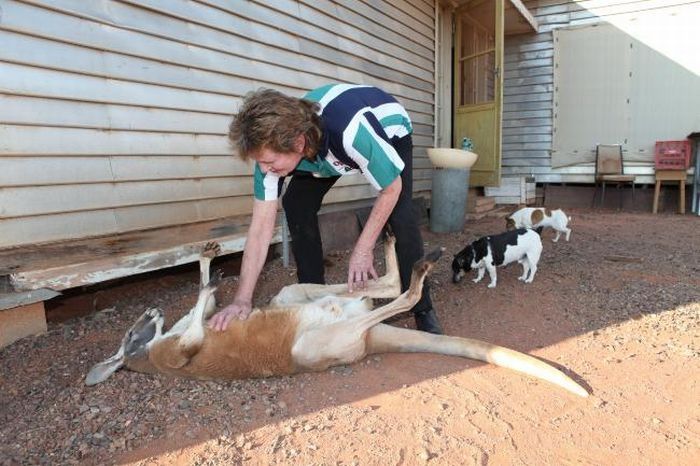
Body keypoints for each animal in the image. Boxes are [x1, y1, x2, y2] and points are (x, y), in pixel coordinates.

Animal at [87, 237, 592, 396]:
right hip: (312, 345)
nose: (151, 310)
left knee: (376, 289)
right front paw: (207, 282)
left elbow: (205, 307)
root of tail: (367, 340)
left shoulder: (177, 341)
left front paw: (209, 267)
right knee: (399, 296)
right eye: (130, 331)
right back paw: (417, 268)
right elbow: (193, 332)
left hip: (295, 295)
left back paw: (394, 249)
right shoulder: (175, 354)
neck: (145, 355)